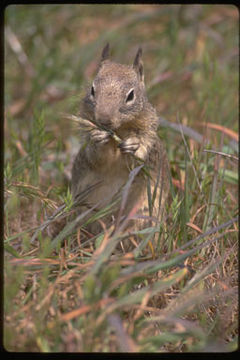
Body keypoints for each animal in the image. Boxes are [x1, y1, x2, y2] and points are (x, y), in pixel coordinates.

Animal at [70, 44, 170, 242]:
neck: (118, 131)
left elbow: (142, 150)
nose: (104, 120)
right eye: (92, 90)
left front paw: (134, 145)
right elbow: (95, 157)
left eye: (131, 95)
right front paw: (97, 139)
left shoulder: (148, 132)